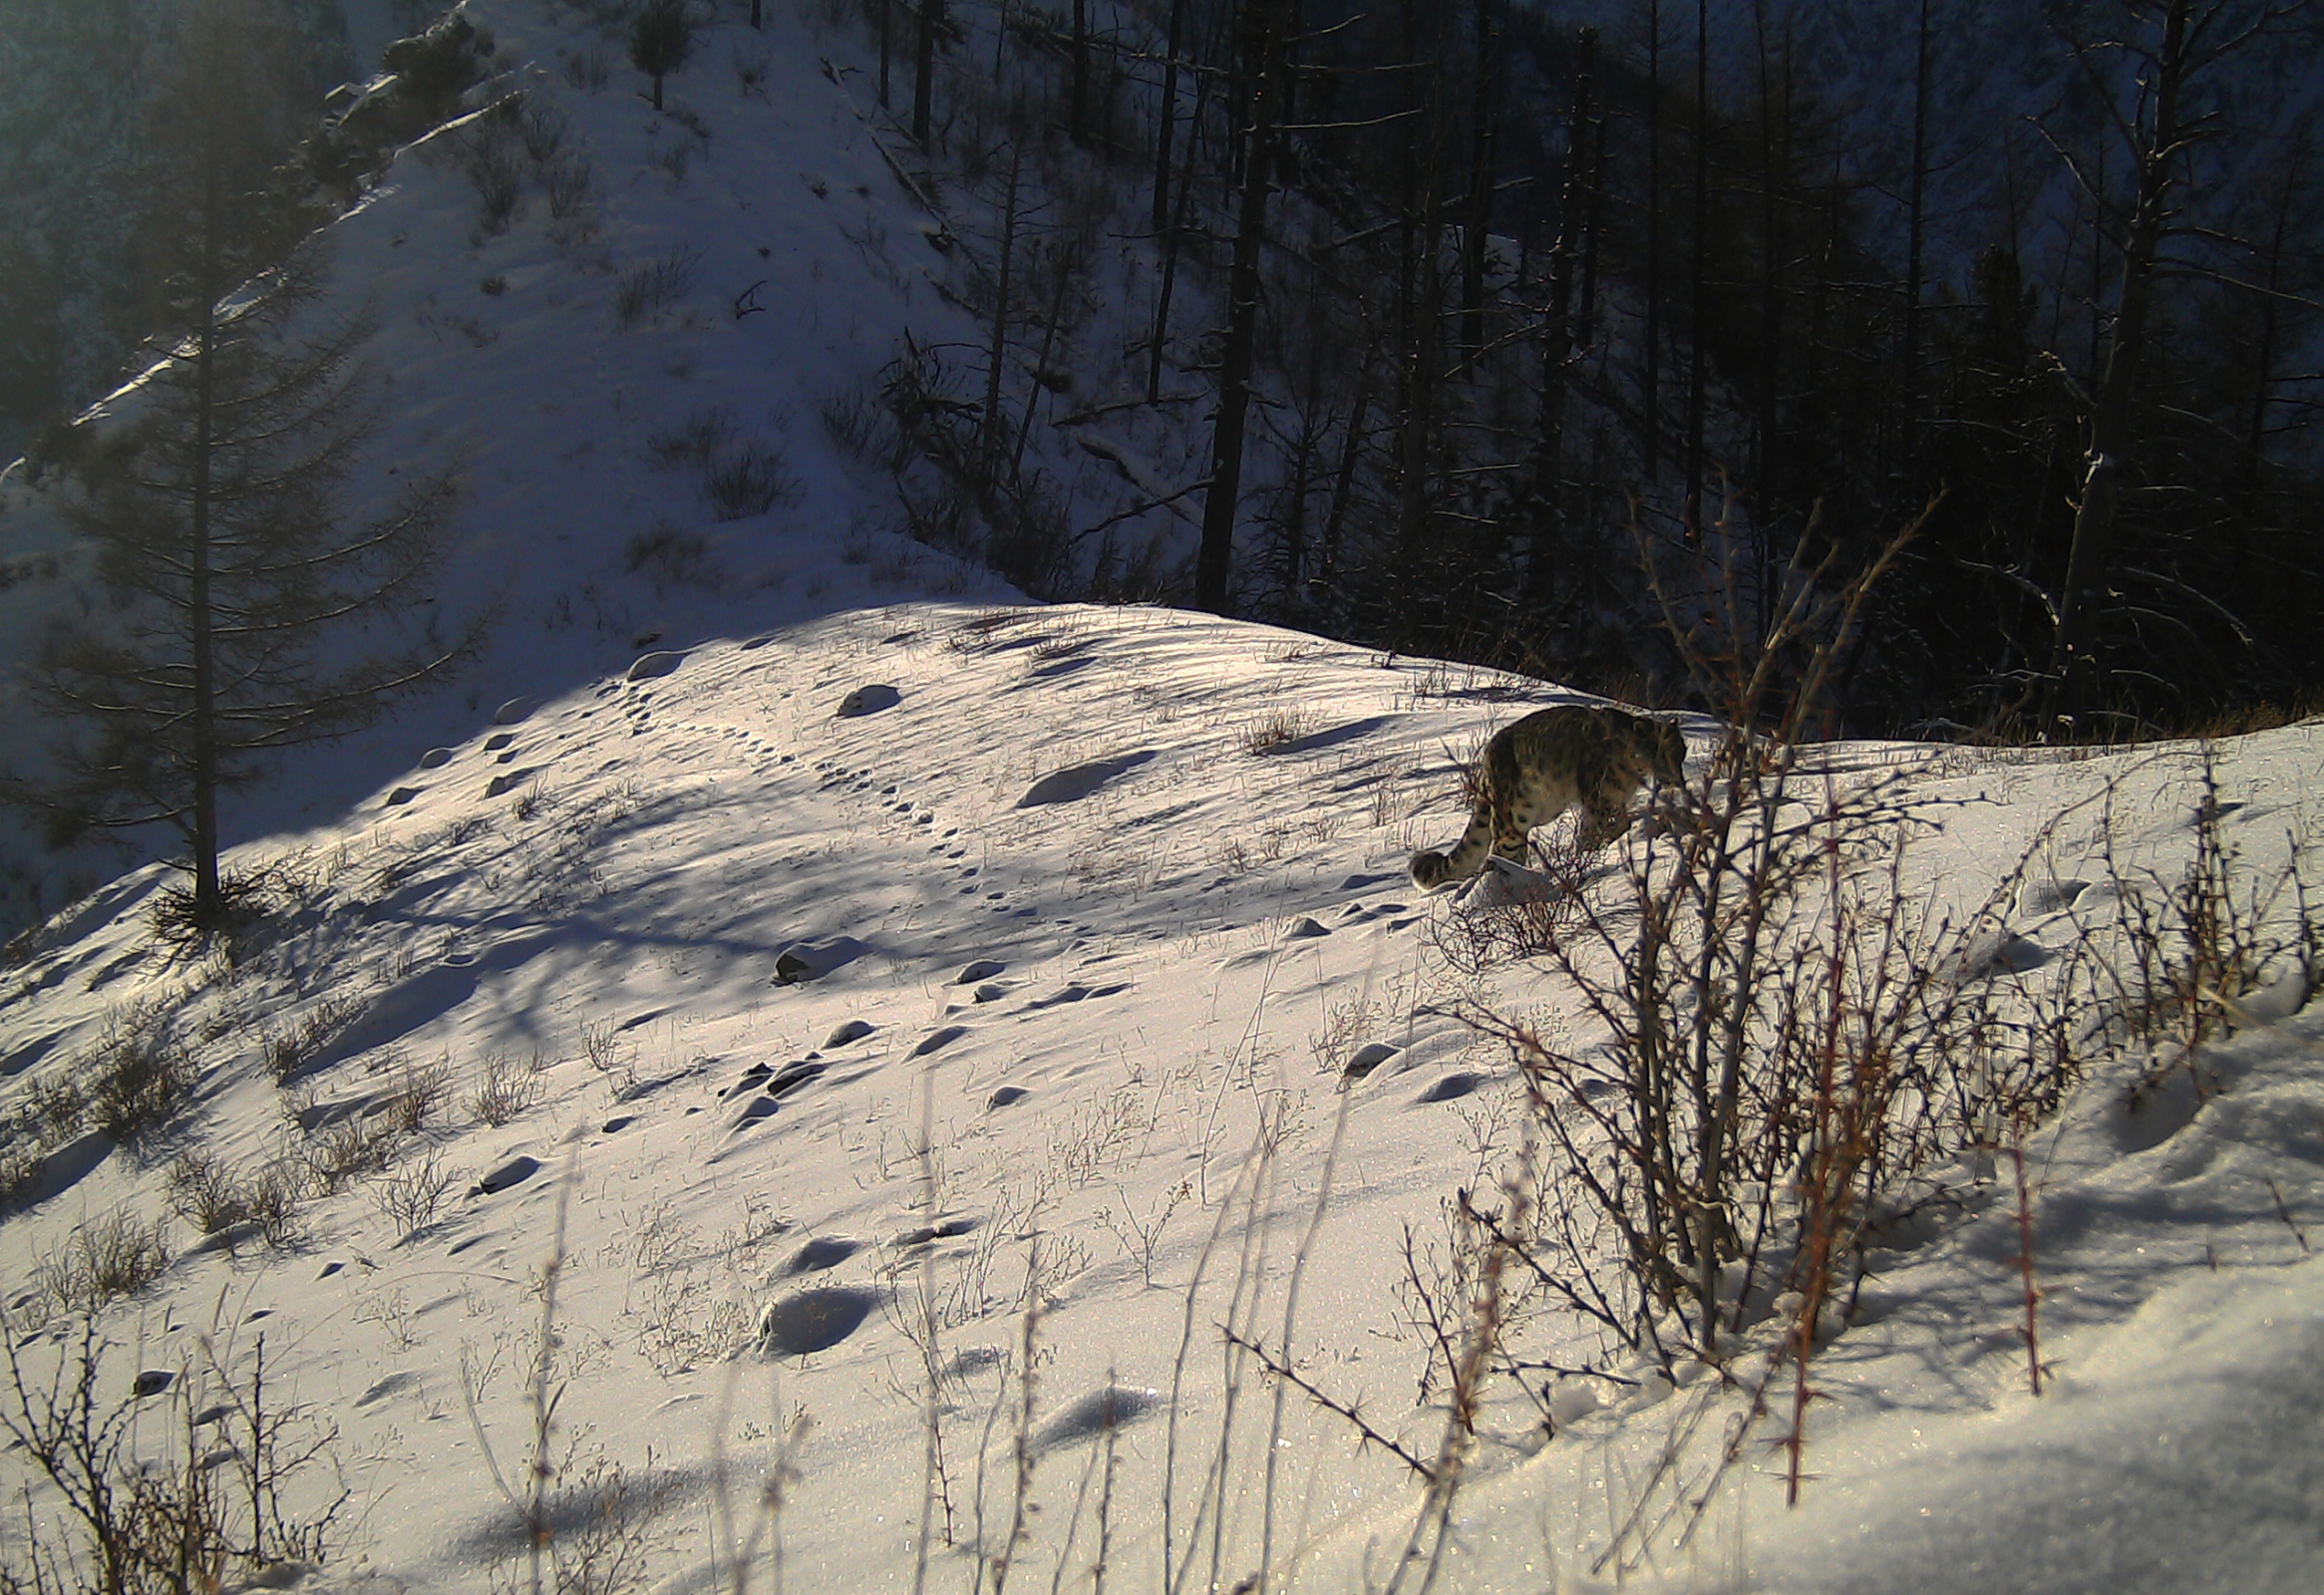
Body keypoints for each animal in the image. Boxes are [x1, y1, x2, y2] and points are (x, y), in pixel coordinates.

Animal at [1403, 711, 1682, 892]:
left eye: (1682, 750)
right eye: (1659, 751)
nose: (1677, 778)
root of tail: (1487, 758)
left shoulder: (1616, 802)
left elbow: (1616, 826)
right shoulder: (1599, 801)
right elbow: (1595, 834)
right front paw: (1589, 857)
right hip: (1511, 820)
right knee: (1497, 854)